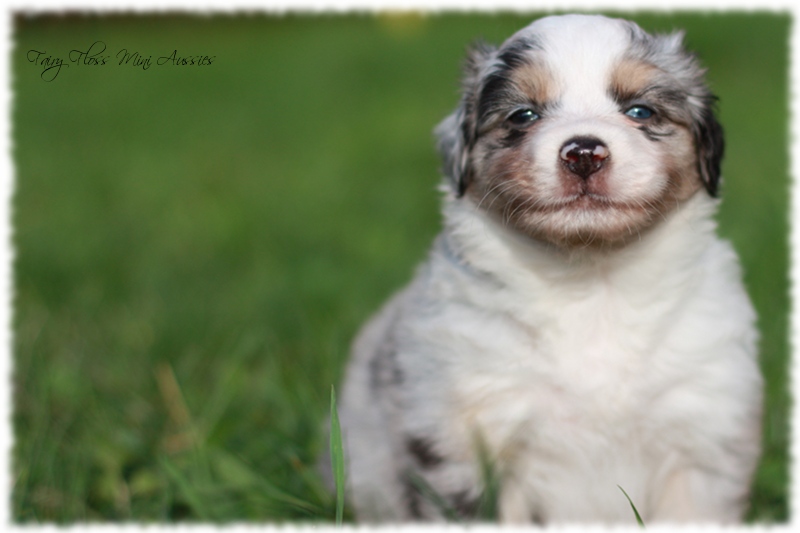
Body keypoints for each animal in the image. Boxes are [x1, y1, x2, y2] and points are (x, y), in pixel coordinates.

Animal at [338, 13, 764, 524]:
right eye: (523, 115)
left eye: (640, 111)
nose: (584, 152)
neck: (592, 282)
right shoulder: (474, 439)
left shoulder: (702, 429)